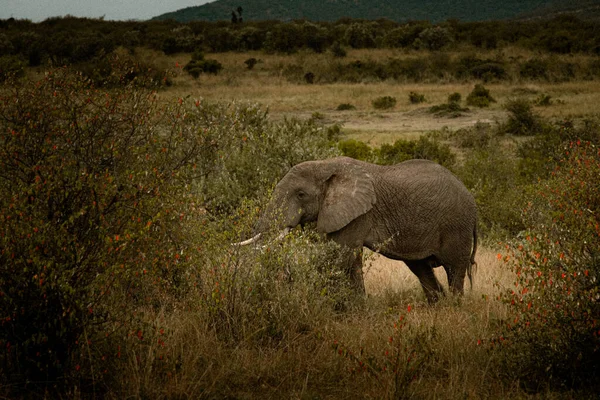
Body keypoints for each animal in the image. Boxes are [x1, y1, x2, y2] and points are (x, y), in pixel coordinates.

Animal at [237, 156, 476, 304]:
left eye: (301, 195)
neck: (326, 165)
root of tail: (470, 196)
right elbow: (350, 259)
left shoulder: (360, 213)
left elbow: (340, 257)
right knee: (421, 268)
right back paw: (438, 306)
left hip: (457, 225)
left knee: (454, 268)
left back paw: (454, 307)